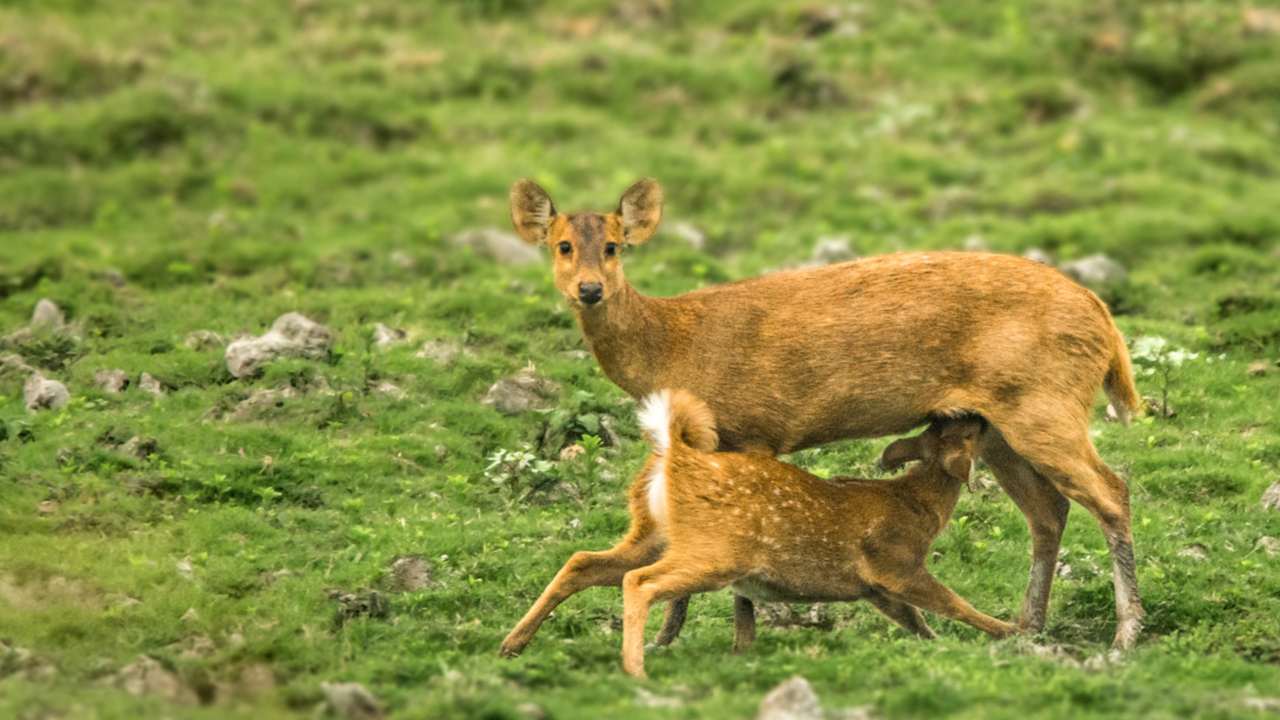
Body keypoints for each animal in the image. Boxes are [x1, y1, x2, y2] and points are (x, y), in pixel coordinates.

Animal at [502, 390, 1009, 678]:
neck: (919, 507)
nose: (981, 415)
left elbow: (917, 621)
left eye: (944, 425)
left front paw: (944, 644)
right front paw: (1010, 631)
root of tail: (674, 459)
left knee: (582, 561)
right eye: (964, 431)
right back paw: (636, 667)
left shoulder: (873, 587)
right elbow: (951, 603)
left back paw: (513, 644)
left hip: (651, 534)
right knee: (639, 582)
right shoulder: (894, 562)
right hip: (717, 549)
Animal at [504, 178, 1144, 650]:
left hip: (1044, 403)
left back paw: (1126, 633)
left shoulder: (755, 427)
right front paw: (671, 635)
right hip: (999, 425)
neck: (672, 345)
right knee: (1049, 511)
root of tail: (1104, 322)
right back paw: (1030, 627)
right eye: (563, 245)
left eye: (614, 245)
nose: (590, 289)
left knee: (1111, 492)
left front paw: (723, 637)